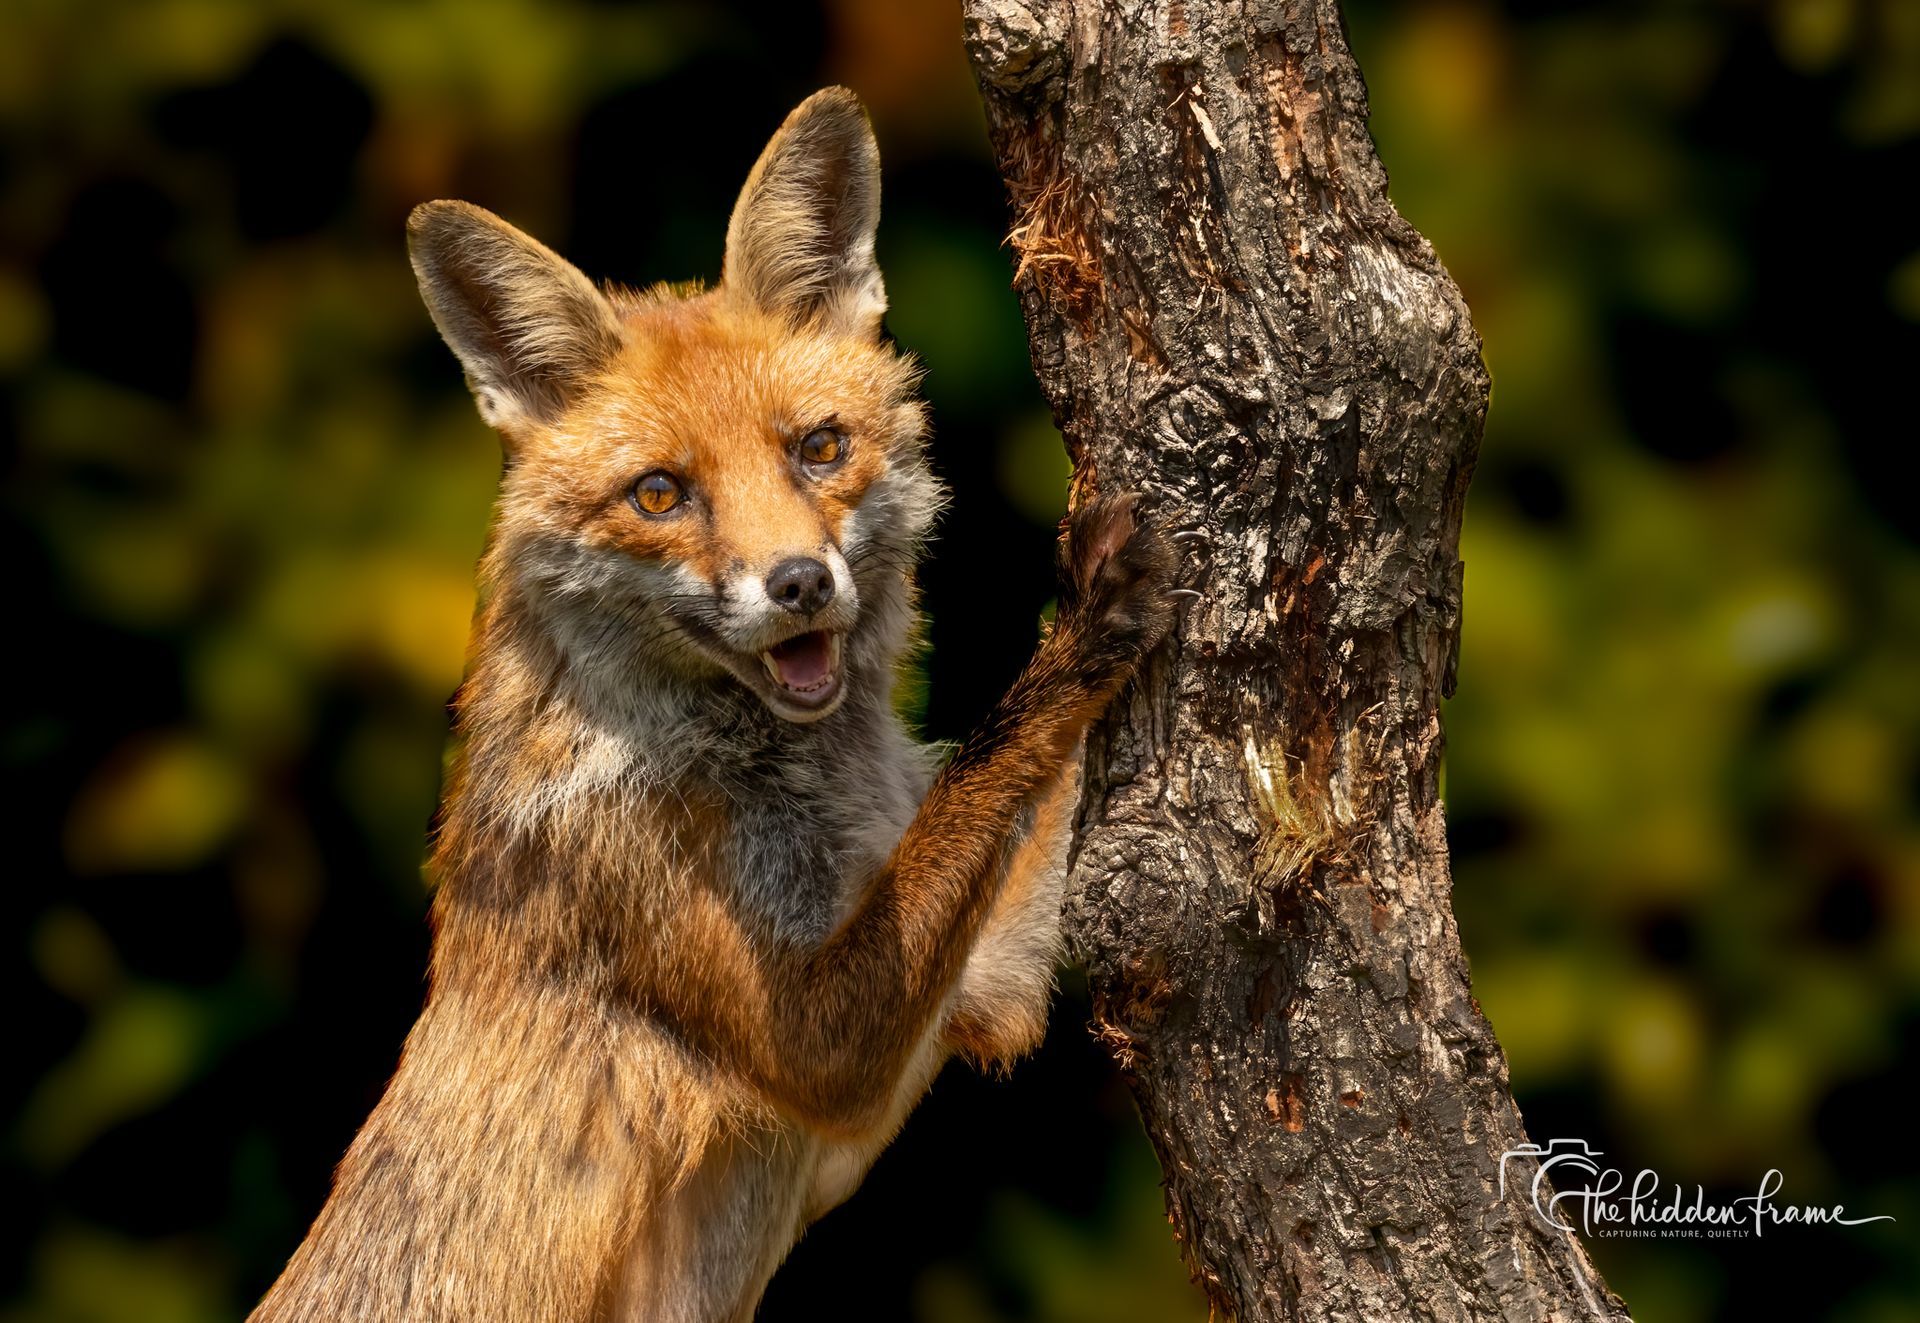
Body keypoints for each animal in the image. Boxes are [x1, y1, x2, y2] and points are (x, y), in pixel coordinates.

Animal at [250, 87, 1175, 1322]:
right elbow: (995, 755)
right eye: (660, 494)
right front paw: (1086, 622)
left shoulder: (979, 991)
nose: (798, 584)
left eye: (819, 448)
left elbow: (1023, 800)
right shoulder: (821, 1044)